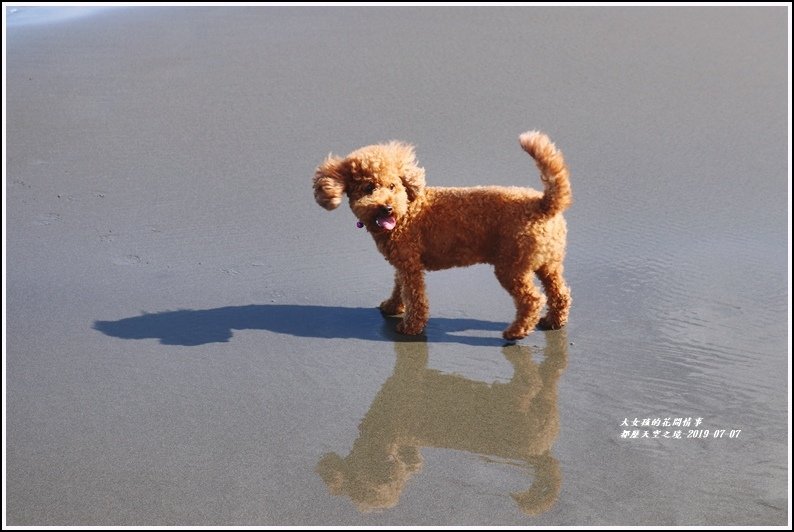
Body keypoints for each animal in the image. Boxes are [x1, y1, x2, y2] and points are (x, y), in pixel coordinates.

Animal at [310, 133, 568, 340]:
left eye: (392, 186)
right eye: (368, 188)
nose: (387, 208)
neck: (407, 211)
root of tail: (543, 204)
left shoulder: (410, 266)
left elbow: (415, 296)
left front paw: (411, 327)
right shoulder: (403, 262)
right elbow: (398, 286)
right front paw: (392, 306)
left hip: (511, 266)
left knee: (531, 300)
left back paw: (516, 332)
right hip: (548, 263)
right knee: (560, 292)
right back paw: (554, 321)